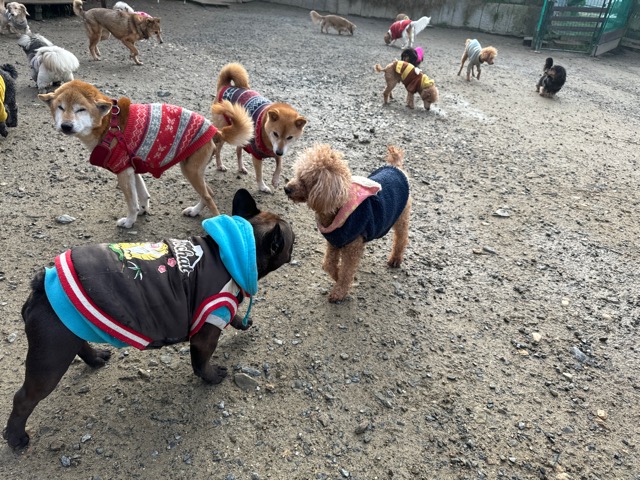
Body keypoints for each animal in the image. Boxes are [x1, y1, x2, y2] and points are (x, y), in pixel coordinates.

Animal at [3, 188, 295, 450]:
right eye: (291, 240)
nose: (296, 242)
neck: (231, 254)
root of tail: (41, 286)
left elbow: (233, 316)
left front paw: (243, 322)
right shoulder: (207, 330)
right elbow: (201, 362)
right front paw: (212, 377)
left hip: (70, 331)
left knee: (81, 344)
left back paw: (96, 357)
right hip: (50, 359)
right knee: (24, 398)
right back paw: (16, 437)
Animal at [39, 79, 254, 228]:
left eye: (81, 110)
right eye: (60, 107)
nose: (66, 126)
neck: (108, 125)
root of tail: (215, 130)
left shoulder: (122, 172)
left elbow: (131, 202)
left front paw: (129, 221)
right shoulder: (131, 168)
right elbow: (142, 194)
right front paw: (143, 210)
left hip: (190, 171)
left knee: (209, 197)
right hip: (193, 171)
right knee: (209, 192)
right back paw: (194, 211)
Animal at [211, 62, 307, 194]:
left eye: (290, 137)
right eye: (275, 134)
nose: (279, 151)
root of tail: (225, 86)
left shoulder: (279, 151)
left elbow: (280, 165)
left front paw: (275, 180)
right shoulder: (257, 156)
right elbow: (259, 174)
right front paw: (262, 186)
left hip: (243, 134)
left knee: (238, 151)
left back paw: (241, 167)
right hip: (225, 134)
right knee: (218, 150)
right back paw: (220, 165)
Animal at [284, 144, 411, 303]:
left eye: (305, 180)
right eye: (297, 173)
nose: (286, 188)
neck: (337, 208)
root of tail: (396, 167)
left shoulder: (352, 247)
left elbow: (346, 272)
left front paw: (339, 291)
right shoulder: (334, 242)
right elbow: (328, 264)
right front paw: (336, 276)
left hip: (401, 216)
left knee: (402, 238)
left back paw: (395, 259)